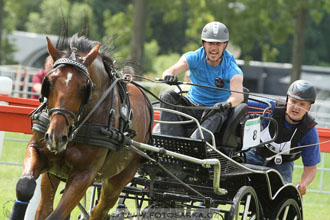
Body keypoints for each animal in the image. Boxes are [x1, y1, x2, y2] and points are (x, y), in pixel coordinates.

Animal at [9, 34, 153, 220]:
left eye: (84, 87)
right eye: (49, 82)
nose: (56, 137)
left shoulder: (85, 175)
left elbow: (57, 215)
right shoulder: (38, 151)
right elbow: (25, 185)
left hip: (119, 179)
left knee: (100, 210)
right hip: (54, 172)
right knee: (43, 208)